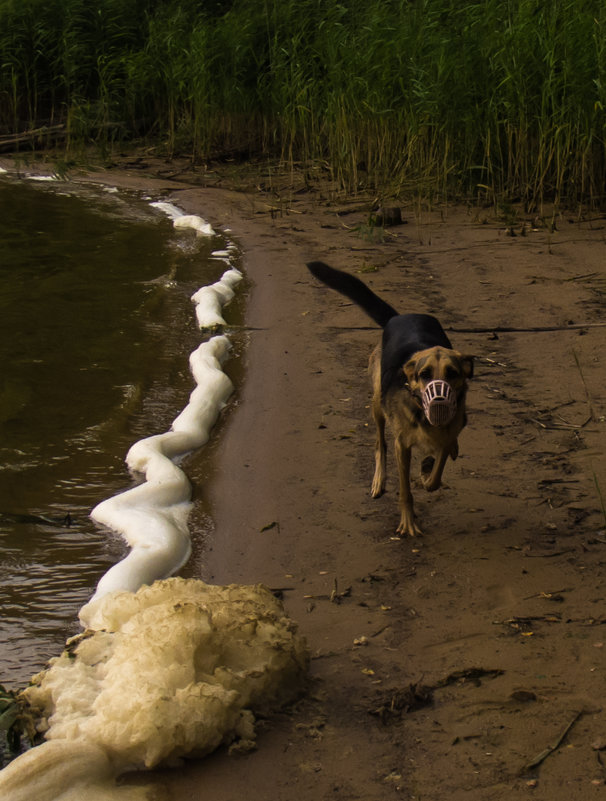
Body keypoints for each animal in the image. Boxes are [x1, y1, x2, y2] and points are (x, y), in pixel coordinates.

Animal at [308, 262, 476, 536]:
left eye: (452, 373)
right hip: (377, 405)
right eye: (424, 374)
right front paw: (408, 523)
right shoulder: (402, 446)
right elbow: (406, 489)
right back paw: (379, 479)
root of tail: (398, 317)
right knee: (380, 443)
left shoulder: (448, 432)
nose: (439, 401)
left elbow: (438, 469)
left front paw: (428, 470)